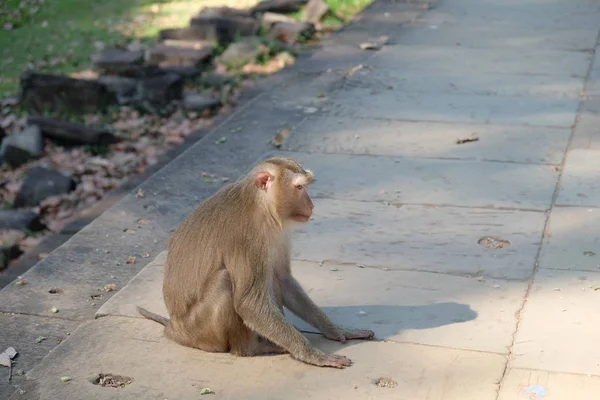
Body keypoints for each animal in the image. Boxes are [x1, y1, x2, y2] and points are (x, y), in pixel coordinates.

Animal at [139, 156, 376, 368]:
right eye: (299, 187)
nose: (311, 205)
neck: (259, 205)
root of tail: (175, 328)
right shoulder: (247, 238)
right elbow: (249, 303)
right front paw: (313, 355)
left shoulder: (278, 234)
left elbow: (284, 280)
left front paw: (337, 330)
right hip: (200, 330)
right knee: (226, 281)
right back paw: (253, 348)